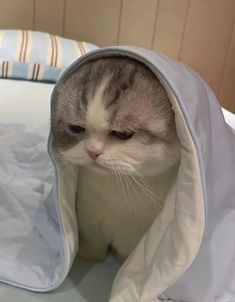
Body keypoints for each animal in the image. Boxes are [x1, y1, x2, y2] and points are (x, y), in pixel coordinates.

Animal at [51, 57, 180, 260]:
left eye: (123, 134)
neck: (120, 189)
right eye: (76, 128)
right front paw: (85, 253)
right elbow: (96, 248)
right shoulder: (89, 218)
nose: (93, 152)